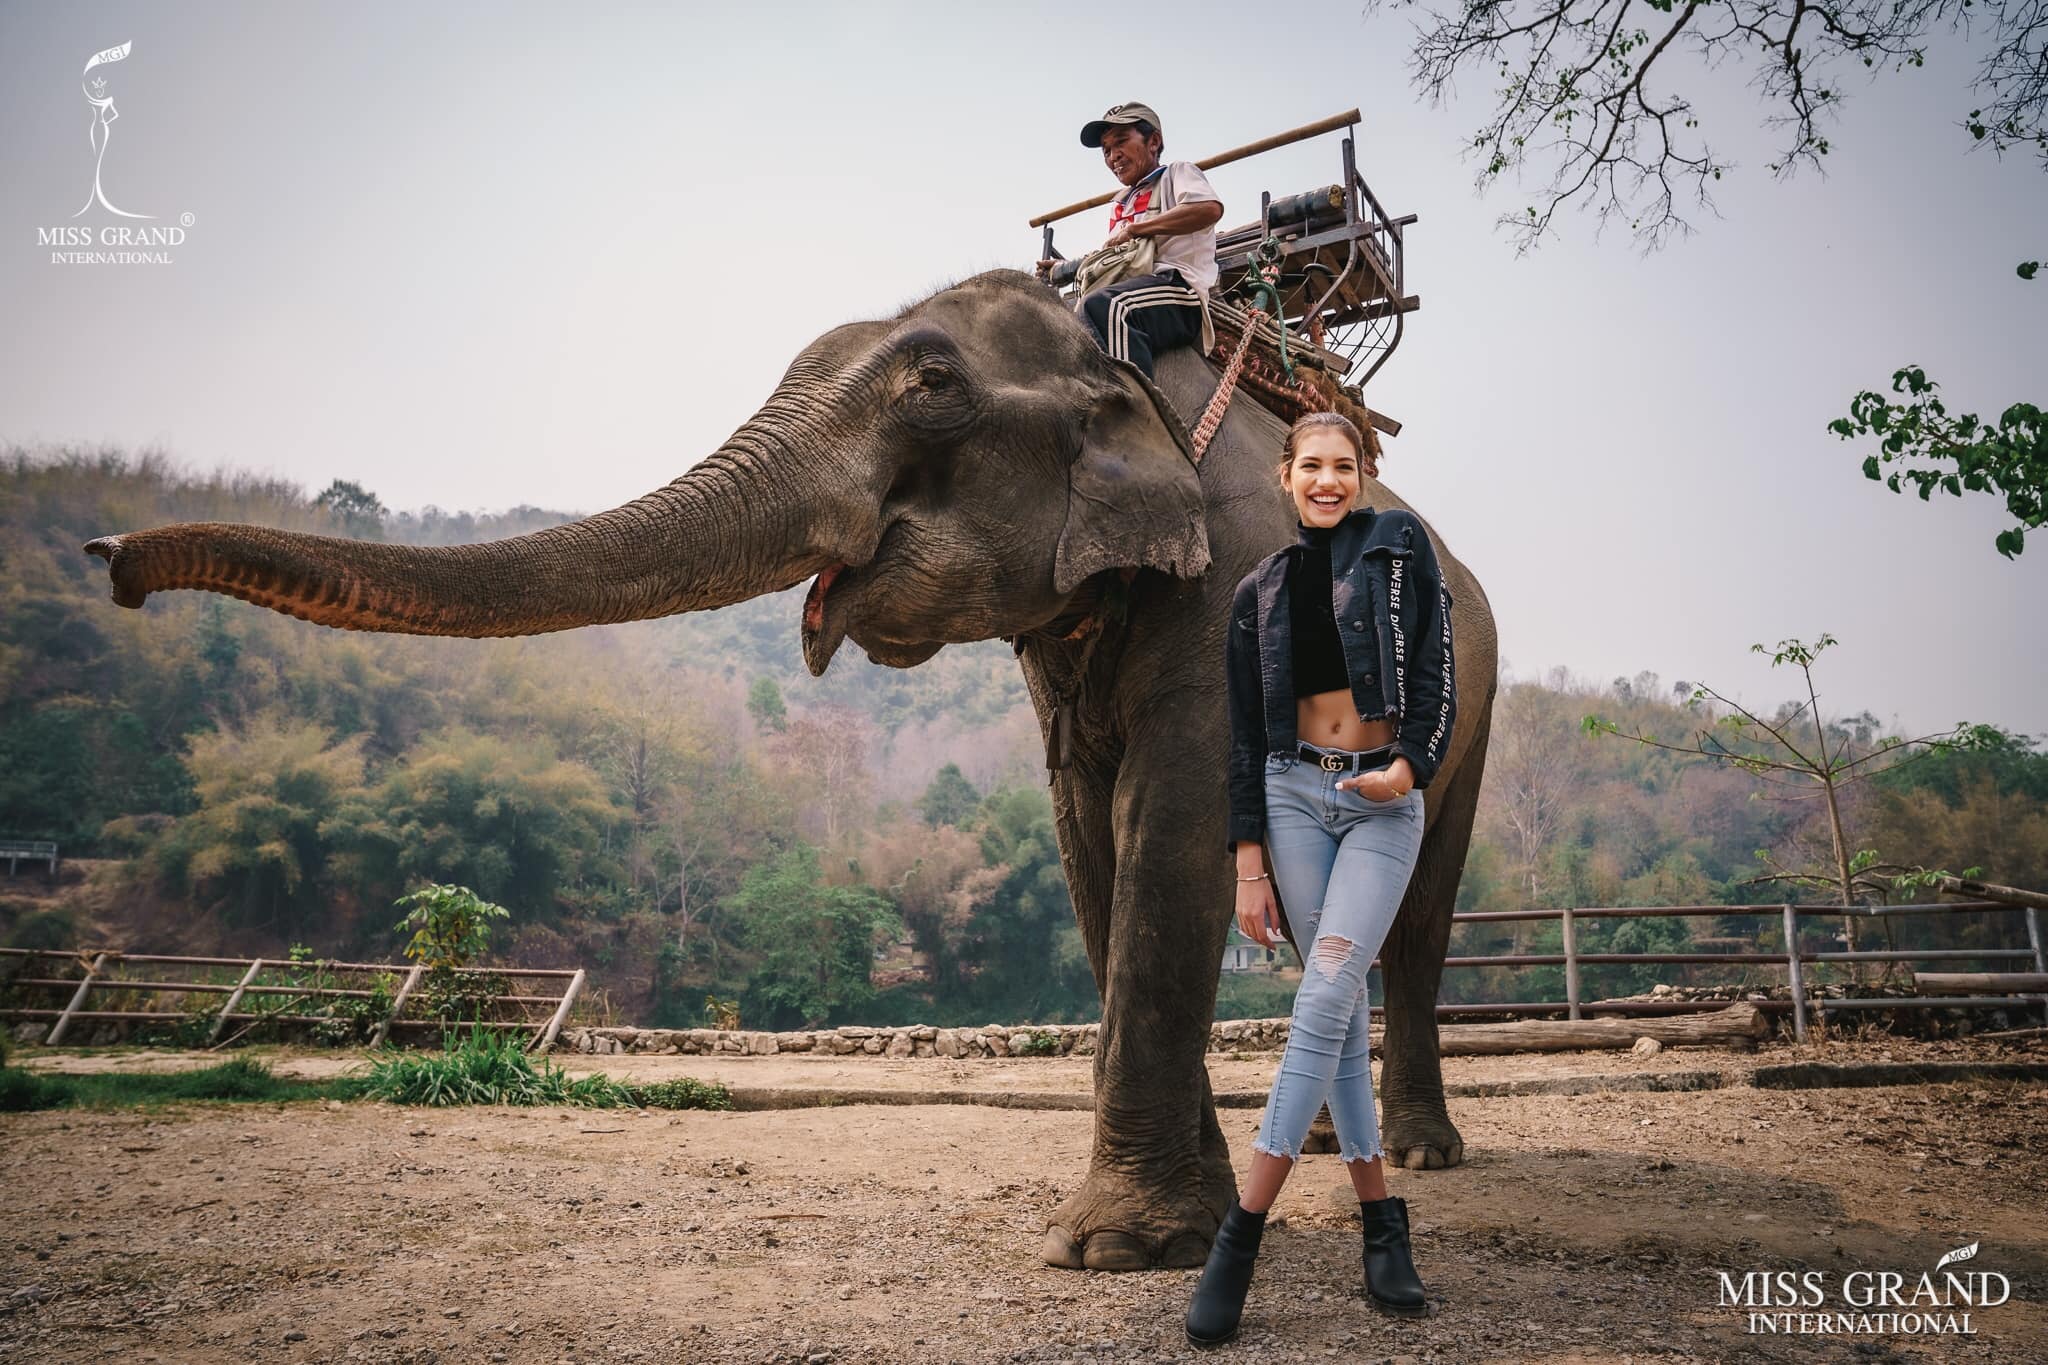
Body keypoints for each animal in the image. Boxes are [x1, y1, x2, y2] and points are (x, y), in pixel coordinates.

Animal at [83, 266, 1490, 1268]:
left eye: (930, 387)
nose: (110, 561)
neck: (1121, 356)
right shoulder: (1065, 646)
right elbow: (1090, 843)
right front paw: (1157, 1228)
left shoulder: (1231, 587)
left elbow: (1175, 817)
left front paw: (1118, 1249)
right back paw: (1328, 1144)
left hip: (1461, 708)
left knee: (1415, 915)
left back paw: (1420, 1158)